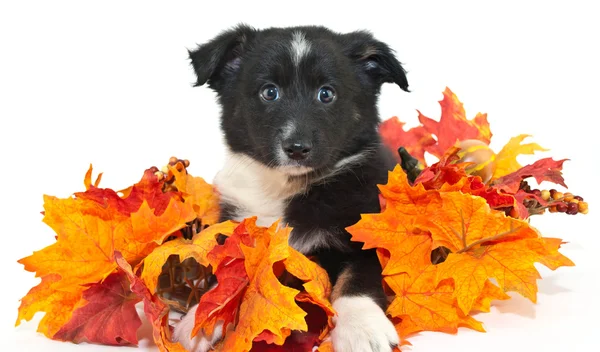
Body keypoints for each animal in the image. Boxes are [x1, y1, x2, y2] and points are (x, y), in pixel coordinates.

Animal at [171, 24, 410, 352]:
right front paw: (201, 318)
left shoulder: (365, 230)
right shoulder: (235, 229)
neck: (284, 187)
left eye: (327, 94)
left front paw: (362, 329)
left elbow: (357, 277)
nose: (297, 148)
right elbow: (225, 278)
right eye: (269, 92)